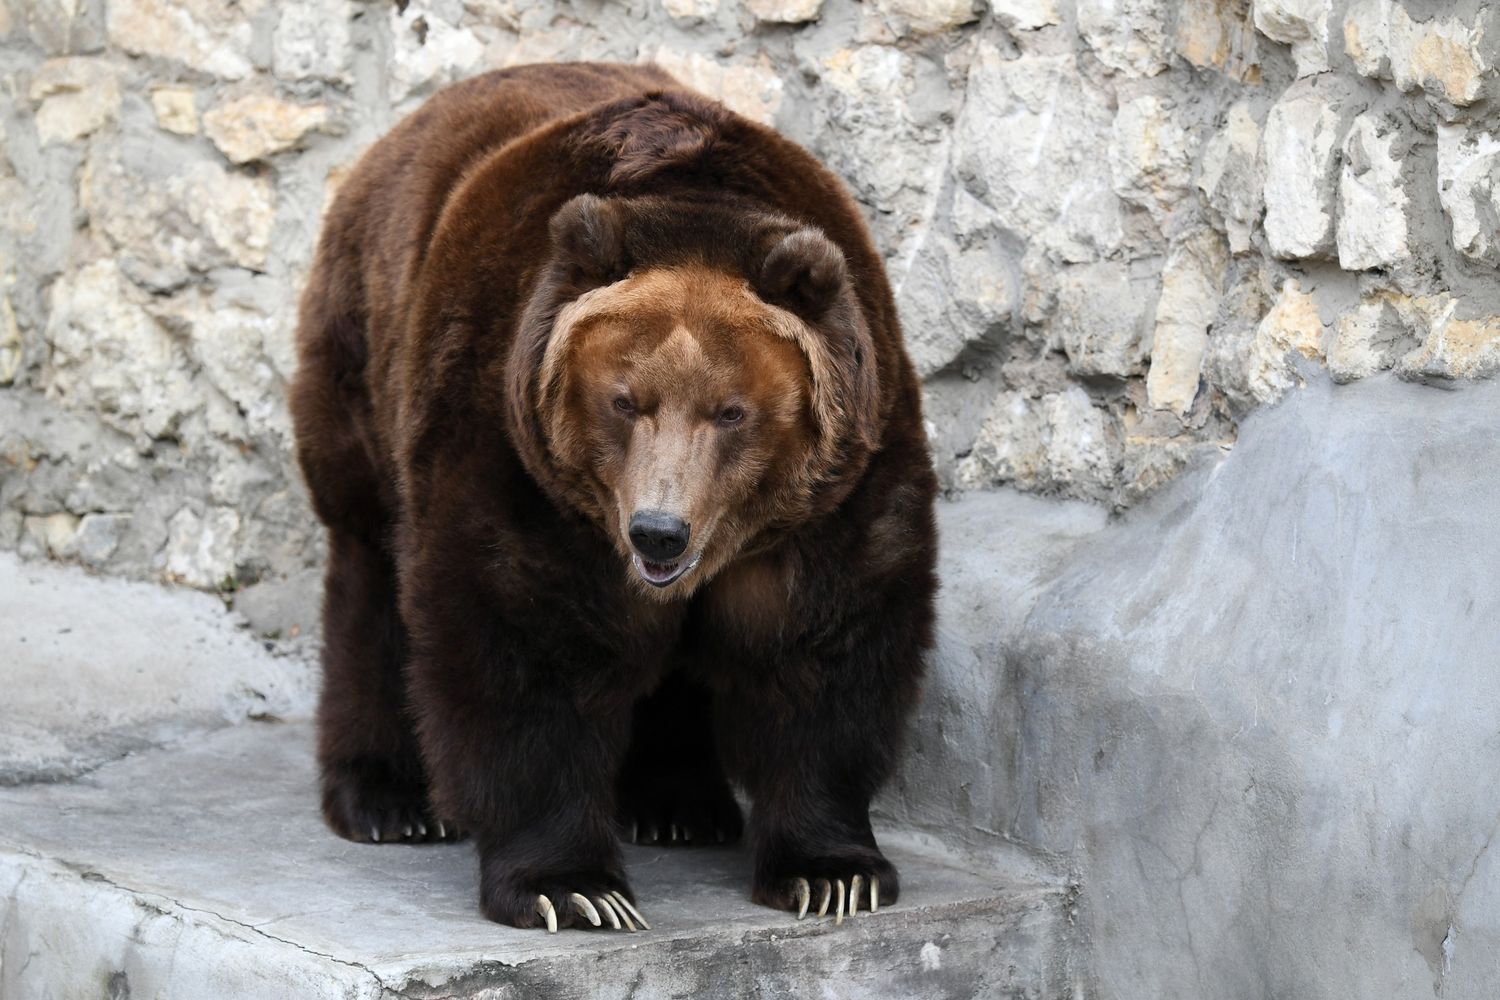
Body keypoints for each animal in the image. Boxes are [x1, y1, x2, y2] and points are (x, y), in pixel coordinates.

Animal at [290, 62, 938, 932]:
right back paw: (388, 799)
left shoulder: (835, 492)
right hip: (370, 358)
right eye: (626, 401)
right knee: (372, 570)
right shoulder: (521, 459)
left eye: (731, 411)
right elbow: (527, 647)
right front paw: (572, 887)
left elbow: (821, 655)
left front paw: (834, 872)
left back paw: (679, 805)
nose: (658, 532)